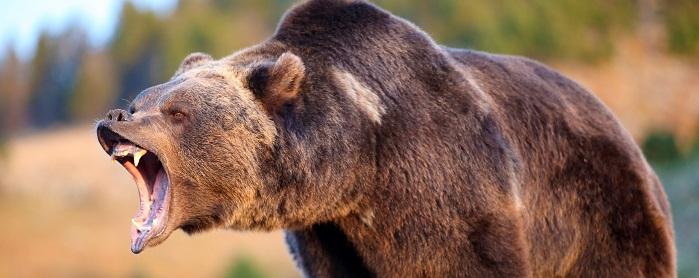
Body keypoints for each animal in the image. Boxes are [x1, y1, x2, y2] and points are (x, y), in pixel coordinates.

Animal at [95, 0, 676, 276]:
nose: (113, 120)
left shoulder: (454, 186)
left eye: (176, 112)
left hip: (599, 215)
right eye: (141, 101)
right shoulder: (331, 237)